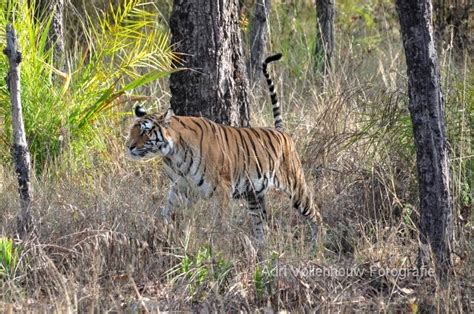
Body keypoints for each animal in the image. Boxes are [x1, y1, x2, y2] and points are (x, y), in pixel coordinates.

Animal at [126, 52, 322, 244]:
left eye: (145, 132)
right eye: (131, 131)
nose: (128, 147)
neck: (174, 156)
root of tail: (281, 132)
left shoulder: (222, 188)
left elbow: (221, 221)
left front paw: (218, 243)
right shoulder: (180, 187)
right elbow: (167, 211)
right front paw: (161, 233)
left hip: (295, 185)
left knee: (315, 215)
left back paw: (316, 245)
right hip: (254, 196)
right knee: (261, 224)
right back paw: (260, 248)